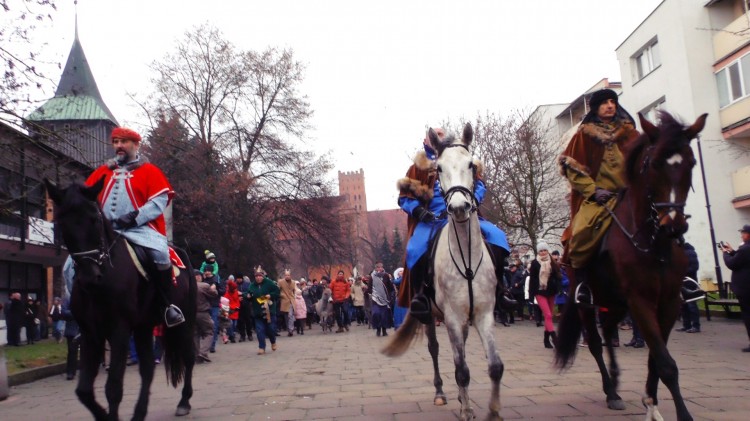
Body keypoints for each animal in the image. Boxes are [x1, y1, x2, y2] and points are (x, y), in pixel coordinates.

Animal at [43, 178, 197, 420]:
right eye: (62, 222)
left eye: (94, 219)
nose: (89, 277)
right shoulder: (91, 333)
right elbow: (84, 390)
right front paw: (104, 415)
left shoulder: (119, 330)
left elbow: (113, 386)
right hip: (143, 327)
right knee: (147, 369)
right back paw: (140, 412)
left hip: (185, 320)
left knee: (188, 356)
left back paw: (184, 401)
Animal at [382, 123, 506, 418]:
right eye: (438, 169)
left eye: (471, 164)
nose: (459, 207)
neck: (467, 258)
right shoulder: (450, 316)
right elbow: (461, 371)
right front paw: (467, 411)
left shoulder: (484, 314)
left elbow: (495, 366)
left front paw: (493, 410)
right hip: (431, 316)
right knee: (435, 349)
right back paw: (441, 393)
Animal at [560, 111, 712, 420]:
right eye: (653, 164)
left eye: (691, 162)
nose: (673, 225)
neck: (654, 244)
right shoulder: (640, 301)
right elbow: (666, 363)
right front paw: (679, 413)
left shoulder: (669, 302)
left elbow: (657, 358)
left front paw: (651, 402)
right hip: (588, 303)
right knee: (595, 342)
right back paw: (611, 391)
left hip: (615, 302)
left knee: (608, 332)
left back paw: (616, 383)